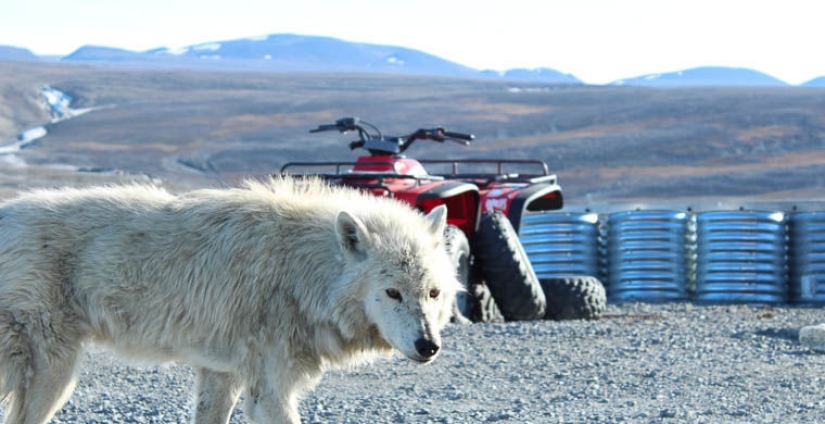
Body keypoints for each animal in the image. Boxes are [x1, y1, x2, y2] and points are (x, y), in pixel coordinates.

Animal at [0, 177, 458, 422]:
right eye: (392, 293)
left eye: (433, 293)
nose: (429, 346)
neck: (302, 272)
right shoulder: (268, 391)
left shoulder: (222, 373)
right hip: (55, 374)